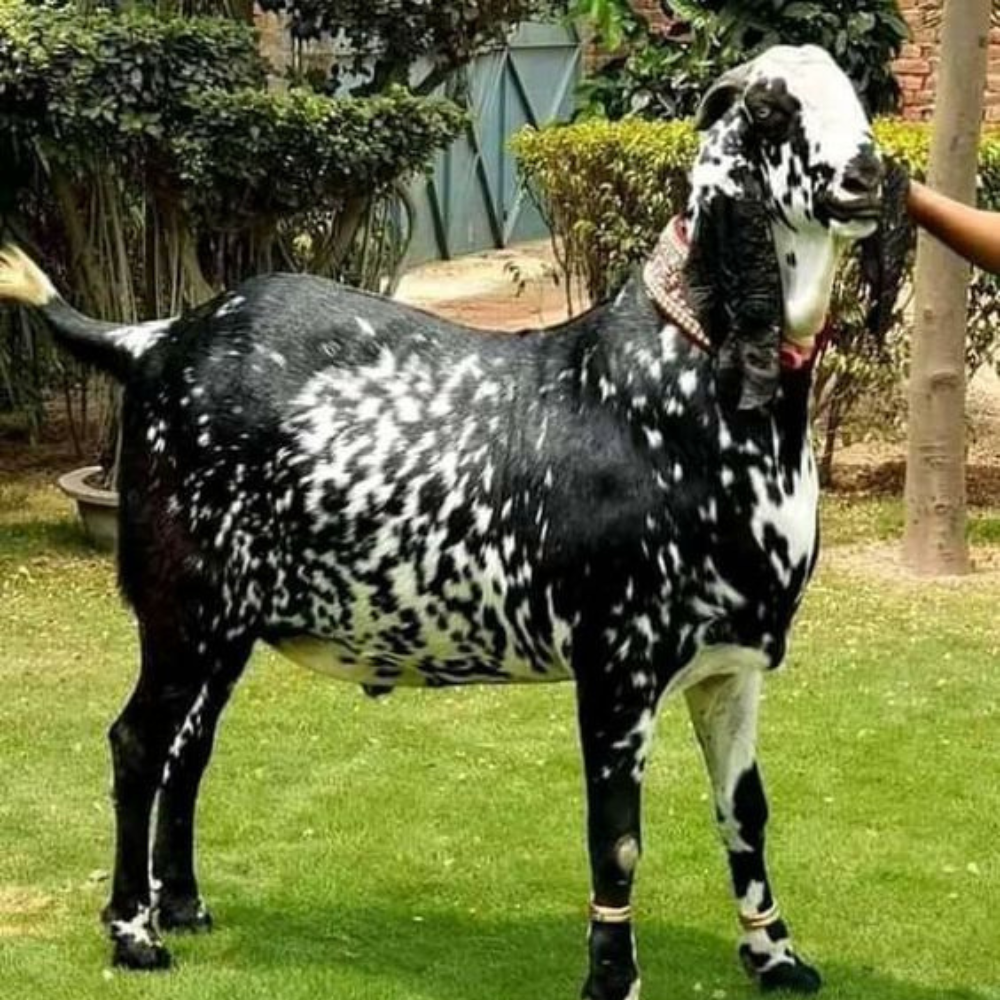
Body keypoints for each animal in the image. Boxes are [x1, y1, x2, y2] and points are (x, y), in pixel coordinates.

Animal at [0, 44, 907, 1000]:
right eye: (770, 110)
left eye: (852, 92)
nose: (865, 173)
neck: (678, 385)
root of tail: (156, 339)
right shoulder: (616, 666)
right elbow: (617, 839)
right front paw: (611, 976)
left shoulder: (729, 668)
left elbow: (747, 812)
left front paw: (775, 955)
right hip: (181, 613)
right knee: (139, 743)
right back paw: (134, 932)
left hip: (227, 630)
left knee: (191, 747)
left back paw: (182, 905)